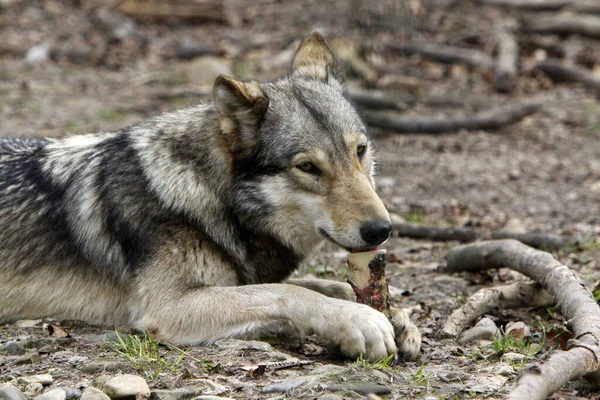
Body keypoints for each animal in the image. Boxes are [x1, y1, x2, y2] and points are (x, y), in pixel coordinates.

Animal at [0, 33, 420, 360]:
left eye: (360, 151)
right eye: (308, 167)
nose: (381, 230)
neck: (214, 198)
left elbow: (325, 286)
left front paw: (398, 316)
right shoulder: (171, 306)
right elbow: (288, 293)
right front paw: (361, 320)